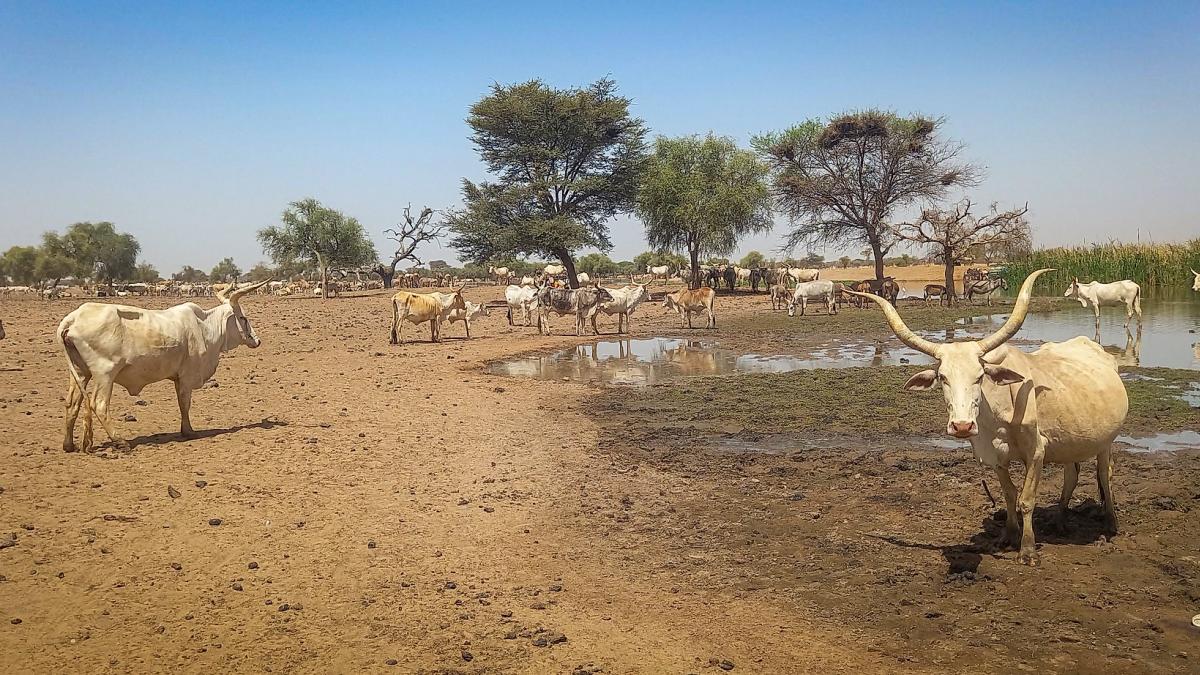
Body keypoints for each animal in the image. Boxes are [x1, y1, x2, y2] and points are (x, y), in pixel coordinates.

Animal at [56, 278, 273, 452]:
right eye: (243, 317)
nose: (257, 340)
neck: (205, 328)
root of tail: (74, 318)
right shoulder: (187, 377)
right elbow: (185, 404)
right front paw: (189, 431)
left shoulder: (178, 378)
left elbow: (181, 402)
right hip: (105, 374)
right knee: (98, 405)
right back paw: (120, 441)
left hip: (80, 372)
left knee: (72, 403)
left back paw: (69, 444)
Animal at [848, 269, 1128, 565]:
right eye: (942, 377)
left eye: (980, 376)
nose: (961, 426)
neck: (997, 416)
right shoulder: (993, 456)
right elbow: (1009, 494)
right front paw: (1008, 535)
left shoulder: (1036, 452)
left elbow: (1026, 500)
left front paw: (1027, 550)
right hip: (1071, 441)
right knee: (1071, 476)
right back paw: (1059, 521)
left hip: (1105, 442)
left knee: (1104, 474)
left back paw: (1110, 523)